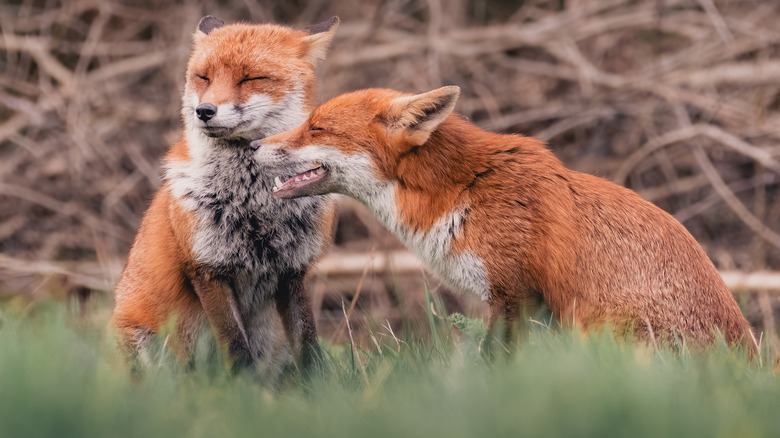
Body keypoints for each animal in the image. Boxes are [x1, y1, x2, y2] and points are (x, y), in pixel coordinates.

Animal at [112, 15, 338, 374]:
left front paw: (316, 386)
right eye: (203, 77)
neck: (254, 205)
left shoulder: (293, 271)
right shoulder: (208, 270)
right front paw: (244, 389)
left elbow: (309, 347)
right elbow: (237, 349)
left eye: (251, 78)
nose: (204, 111)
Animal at [254, 85, 756, 352]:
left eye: (316, 128)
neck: (463, 192)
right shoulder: (530, 309)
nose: (253, 145)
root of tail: (744, 356)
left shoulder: (513, 294)